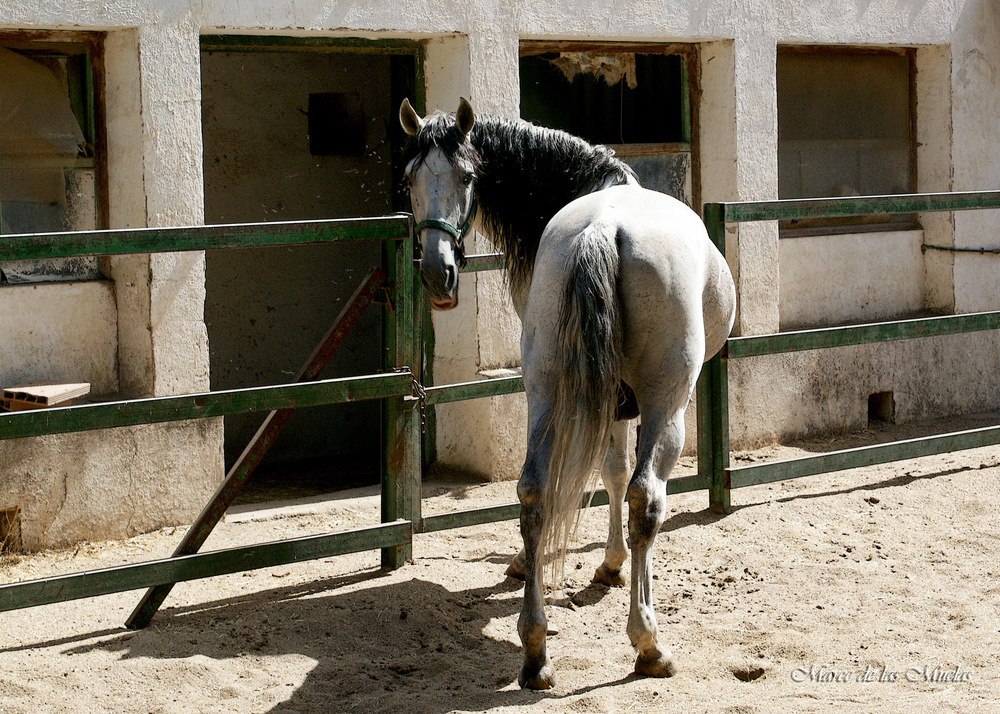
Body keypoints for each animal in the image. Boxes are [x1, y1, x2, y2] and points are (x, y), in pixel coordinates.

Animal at [398, 97, 736, 688]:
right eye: (410, 179)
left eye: (467, 176)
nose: (438, 276)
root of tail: (604, 227)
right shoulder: (625, 401)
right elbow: (618, 475)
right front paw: (613, 565)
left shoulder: (603, 395)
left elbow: (603, 473)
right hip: (666, 403)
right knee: (646, 497)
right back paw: (648, 643)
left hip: (546, 389)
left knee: (533, 492)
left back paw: (535, 652)